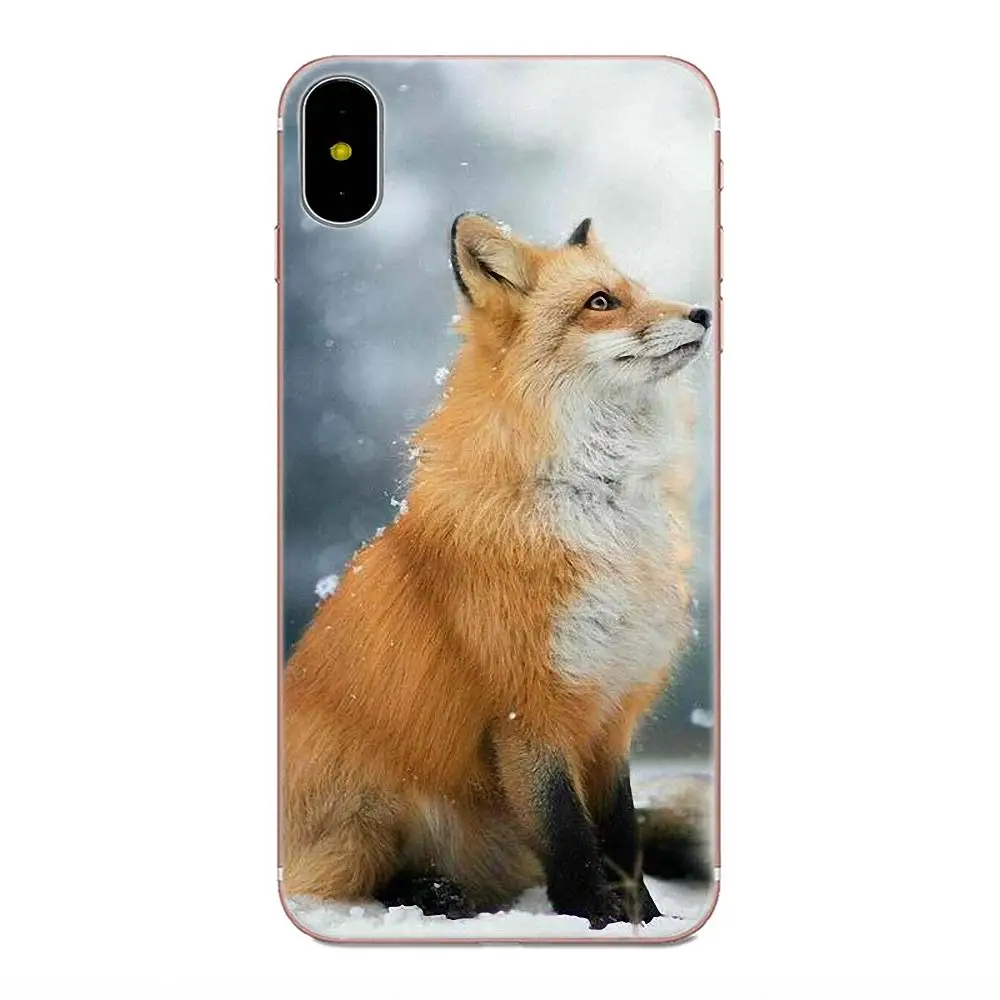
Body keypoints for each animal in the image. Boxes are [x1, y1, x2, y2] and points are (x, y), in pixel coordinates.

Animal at [282, 214, 713, 929]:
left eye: (640, 290)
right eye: (602, 302)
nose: (703, 313)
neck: (598, 506)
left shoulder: (610, 709)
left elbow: (621, 837)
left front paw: (646, 921)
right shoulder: (526, 708)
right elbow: (569, 838)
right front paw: (593, 921)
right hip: (366, 812)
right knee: (350, 879)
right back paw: (433, 894)